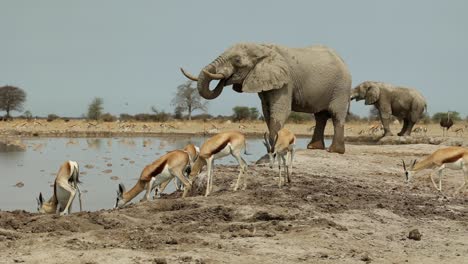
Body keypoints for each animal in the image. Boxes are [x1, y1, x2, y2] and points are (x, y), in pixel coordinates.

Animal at [181, 42, 350, 153]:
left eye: (237, 60)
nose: (225, 78)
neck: (263, 48)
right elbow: (267, 111)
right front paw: (271, 150)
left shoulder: (285, 80)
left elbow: (280, 111)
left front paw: (276, 150)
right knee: (320, 117)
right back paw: (314, 147)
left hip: (341, 88)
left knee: (336, 115)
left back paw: (334, 151)